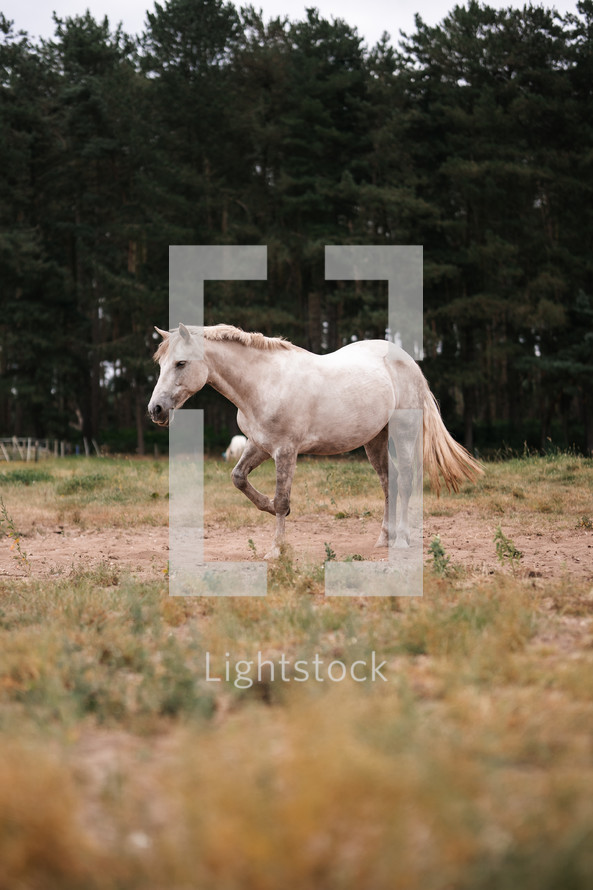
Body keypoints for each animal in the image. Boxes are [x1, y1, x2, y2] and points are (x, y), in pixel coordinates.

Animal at [149, 322, 480, 556]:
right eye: (161, 364)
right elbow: (239, 478)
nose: (156, 410)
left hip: (403, 431)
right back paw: (385, 538)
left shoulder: (286, 451)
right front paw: (268, 507)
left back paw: (402, 540)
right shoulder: (259, 446)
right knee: (390, 482)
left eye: (180, 363)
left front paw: (277, 550)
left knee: (407, 479)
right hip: (375, 440)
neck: (264, 383)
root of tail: (410, 362)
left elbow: (282, 498)